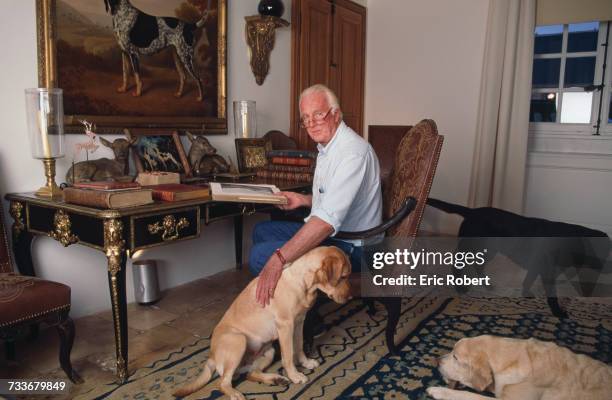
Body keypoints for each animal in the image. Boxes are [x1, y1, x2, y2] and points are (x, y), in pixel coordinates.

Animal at [428, 199, 608, 318]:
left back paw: (487, 285)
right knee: (456, 266)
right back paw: (461, 288)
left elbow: (527, 280)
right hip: (472, 249)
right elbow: (552, 295)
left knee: (478, 266)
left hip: (488, 250)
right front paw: (558, 313)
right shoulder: (548, 272)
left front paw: (526, 294)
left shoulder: (537, 267)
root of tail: (472, 211)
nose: (608, 267)